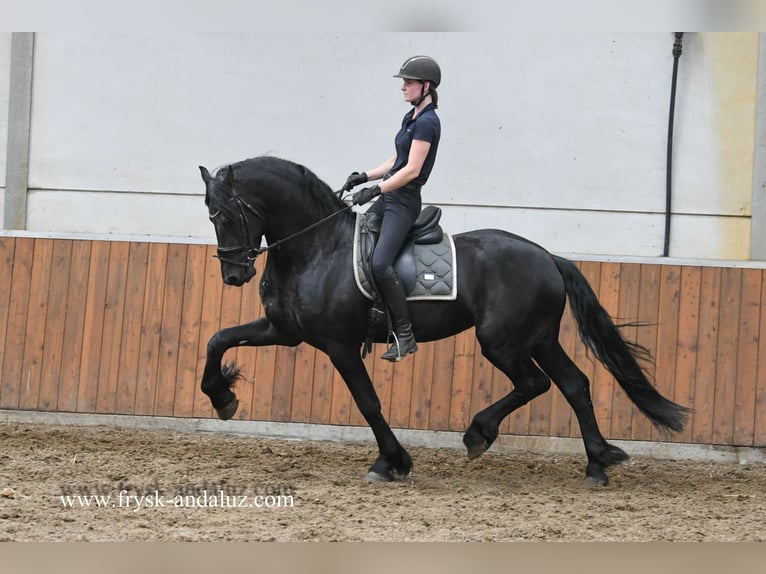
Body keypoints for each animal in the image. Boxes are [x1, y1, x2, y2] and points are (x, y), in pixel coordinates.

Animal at [196, 156, 688, 486]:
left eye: (226, 214)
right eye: (210, 214)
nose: (234, 275)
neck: (316, 247)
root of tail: (548, 257)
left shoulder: (339, 345)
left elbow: (368, 402)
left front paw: (390, 462)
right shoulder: (284, 332)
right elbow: (218, 339)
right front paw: (223, 397)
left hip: (502, 341)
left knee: (536, 383)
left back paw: (479, 434)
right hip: (540, 339)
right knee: (574, 384)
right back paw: (597, 462)